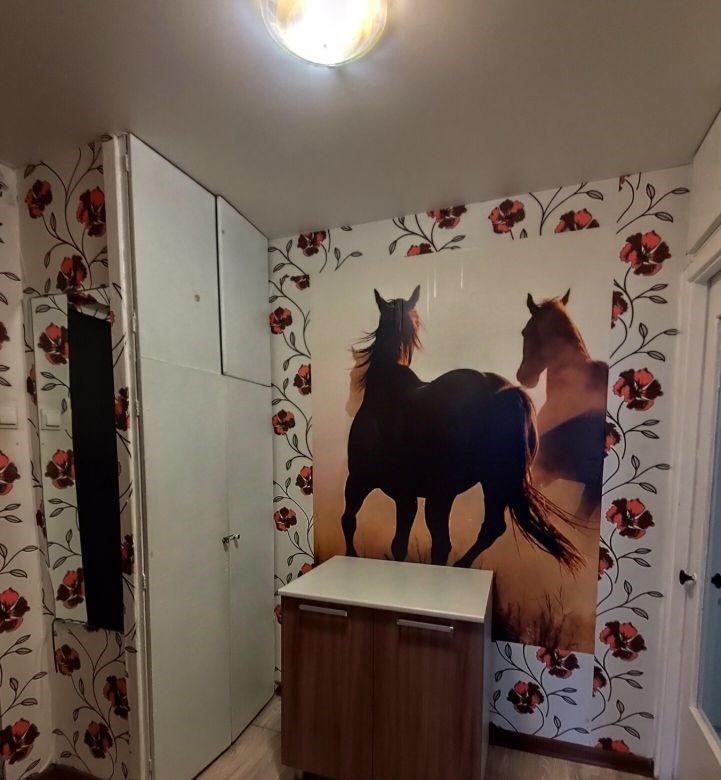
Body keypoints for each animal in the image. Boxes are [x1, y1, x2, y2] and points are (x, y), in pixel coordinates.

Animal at [340, 285, 583, 571]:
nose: (348, 405)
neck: (387, 386)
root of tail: (505, 393)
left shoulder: (362, 481)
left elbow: (351, 523)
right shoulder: (406, 496)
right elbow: (397, 544)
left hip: (443, 494)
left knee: (445, 543)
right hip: (492, 483)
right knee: (489, 529)